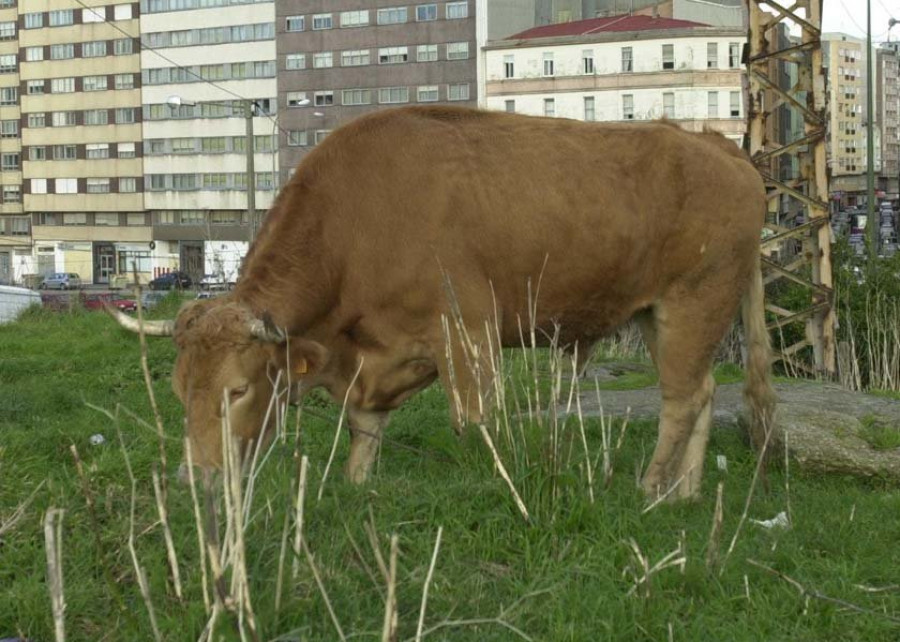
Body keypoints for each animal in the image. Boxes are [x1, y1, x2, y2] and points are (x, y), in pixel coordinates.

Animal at [110, 105, 772, 498]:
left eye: (239, 391)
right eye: (179, 391)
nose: (196, 479)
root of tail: (716, 144)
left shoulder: (468, 335)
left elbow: (474, 425)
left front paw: (496, 485)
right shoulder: (372, 357)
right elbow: (364, 427)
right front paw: (356, 487)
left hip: (694, 302)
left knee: (681, 400)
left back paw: (651, 487)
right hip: (661, 316)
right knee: (704, 392)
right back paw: (686, 492)